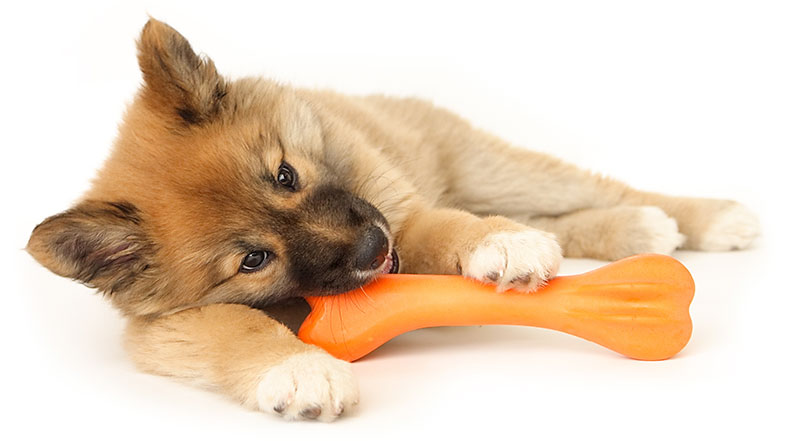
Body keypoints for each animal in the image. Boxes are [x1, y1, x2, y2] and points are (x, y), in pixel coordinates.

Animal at [26, 18, 764, 422]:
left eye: (287, 175)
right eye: (253, 259)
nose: (370, 248)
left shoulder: (400, 212)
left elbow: (445, 226)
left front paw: (499, 242)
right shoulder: (163, 330)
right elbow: (237, 328)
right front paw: (300, 369)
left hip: (496, 167)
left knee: (595, 187)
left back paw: (705, 217)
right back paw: (638, 228)